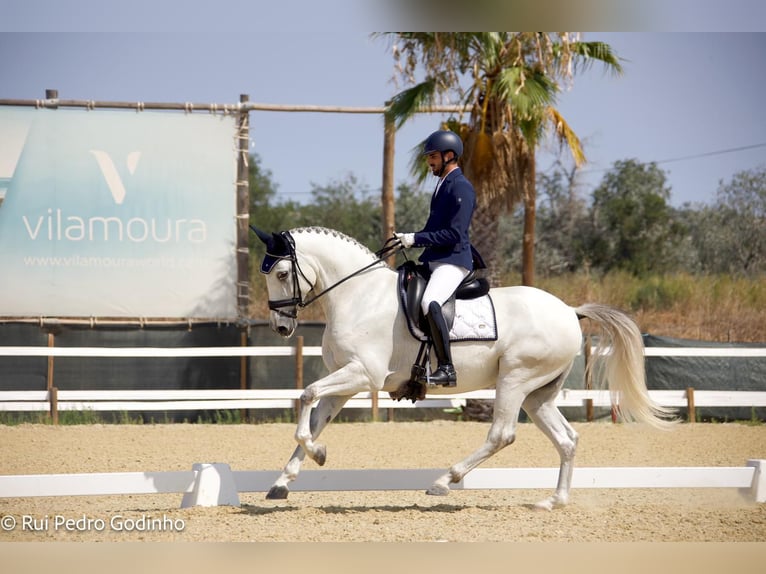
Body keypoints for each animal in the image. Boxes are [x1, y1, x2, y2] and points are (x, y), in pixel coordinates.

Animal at [250, 227, 672, 510]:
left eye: (283, 274)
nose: (281, 328)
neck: (359, 296)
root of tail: (570, 310)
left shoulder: (362, 374)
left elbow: (306, 394)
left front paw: (318, 455)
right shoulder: (347, 381)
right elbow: (314, 416)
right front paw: (285, 480)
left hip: (514, 379)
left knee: (501, 435)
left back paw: (443, 481)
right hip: (538, 394)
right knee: (567, 439)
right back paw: (553, 501)